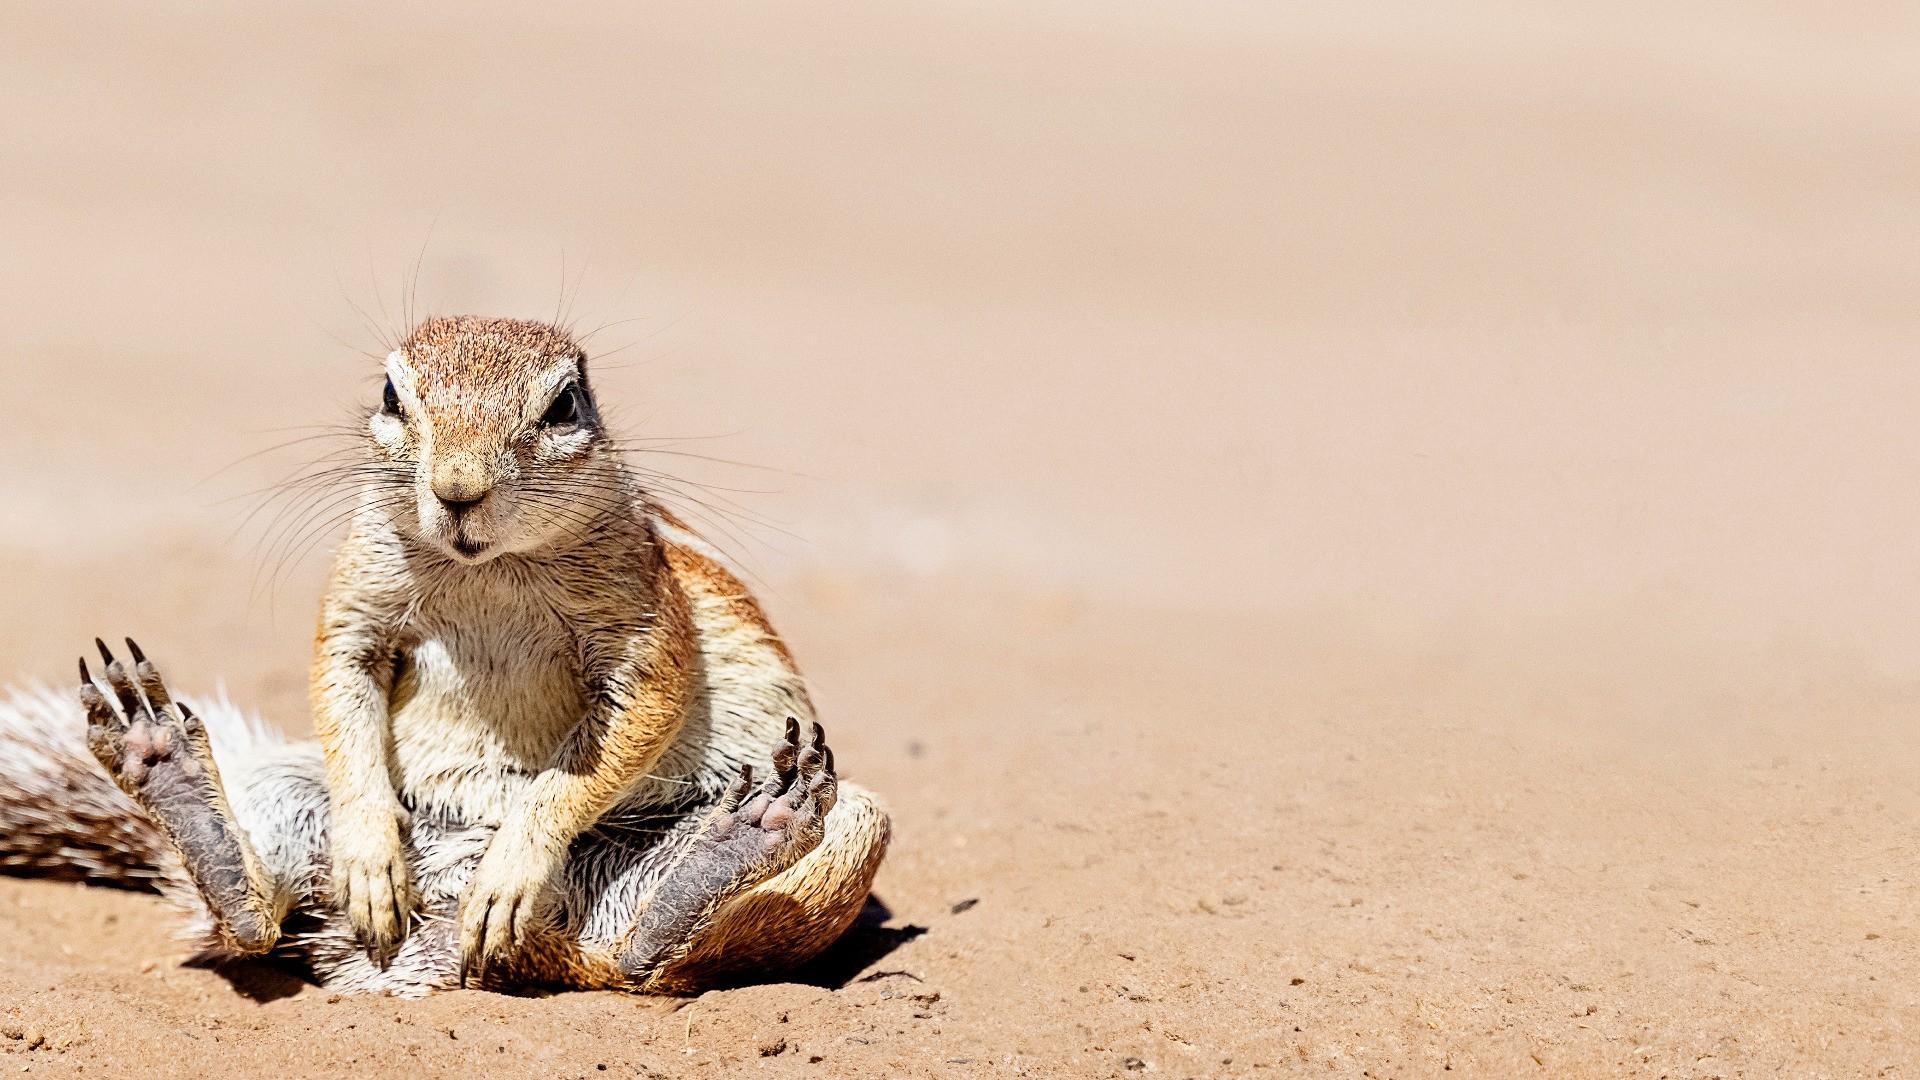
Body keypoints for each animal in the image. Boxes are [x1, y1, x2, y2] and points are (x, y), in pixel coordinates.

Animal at [0, 313, 890, 991]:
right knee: (254, 921)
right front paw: (369, 855)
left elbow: (621, 729)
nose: (457, 489)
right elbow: (341, 673)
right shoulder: (359, 596)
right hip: (285, 791)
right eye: (393, 396)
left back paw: (739, 842)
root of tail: (534, 952)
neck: (482, 570)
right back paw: (167, 769)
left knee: (645, 964)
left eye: (564, 405)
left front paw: (512, 865)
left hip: (851, 824)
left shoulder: (642, 621)